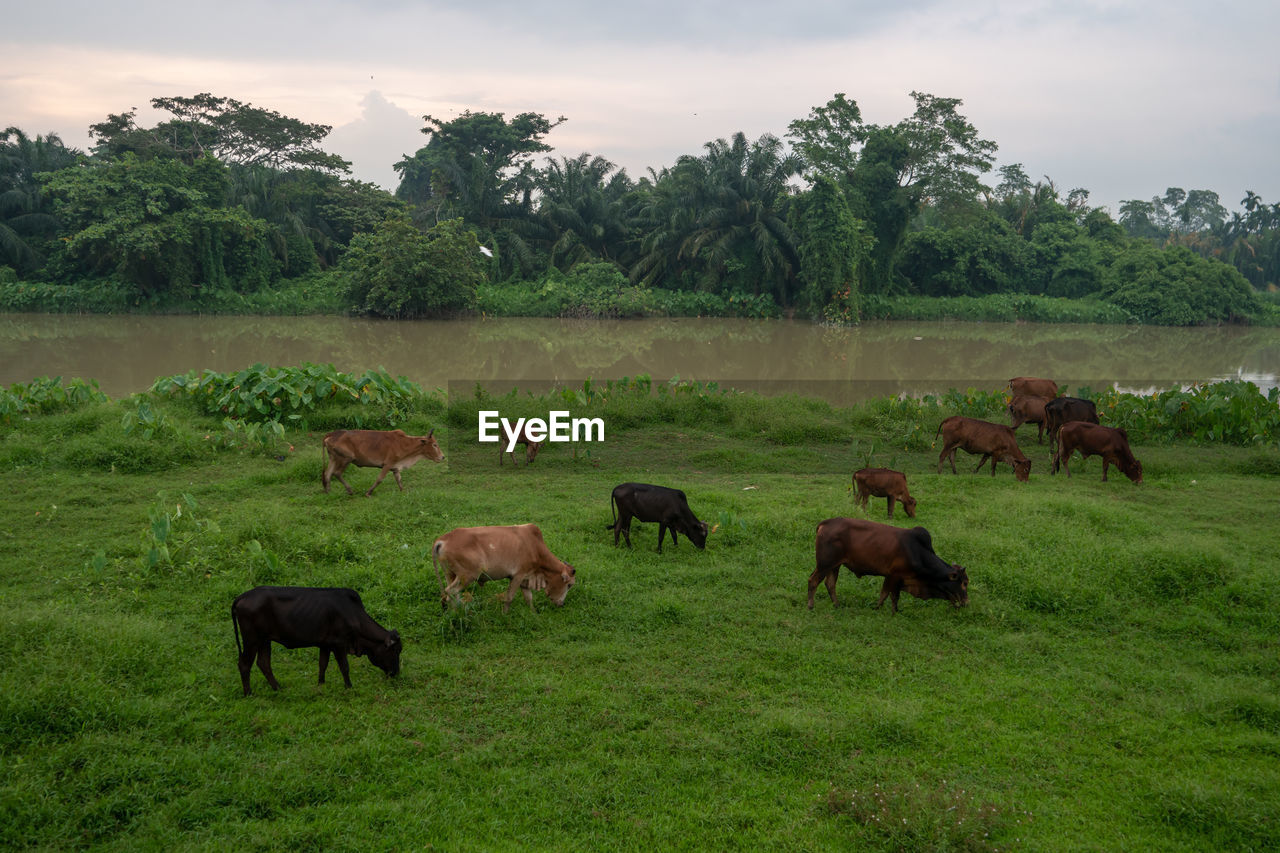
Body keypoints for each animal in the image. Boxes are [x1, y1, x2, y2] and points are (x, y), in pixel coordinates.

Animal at [232, 586, 402, 697]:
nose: (396, 673)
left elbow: (322, 664)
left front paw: (321, 685)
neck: (353, 615)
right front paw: (349, 687)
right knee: (244, 664)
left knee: (264, 663)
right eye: (395, 650)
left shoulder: (325, 644)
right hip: (252, 640)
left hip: (264, 640)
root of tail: (243, 596)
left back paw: (278, 688)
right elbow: (344, 667)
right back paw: (249, 694)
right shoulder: (339, 643)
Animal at [432, 524, 576, 613]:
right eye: (569, 585)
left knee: (450, 594)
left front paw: (534, 613)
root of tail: (442, 540)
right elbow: (509, 597)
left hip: (450, 574)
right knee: (451, 592)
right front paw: (504, 615)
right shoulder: (518, 575)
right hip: (467, 576)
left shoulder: (525, 579)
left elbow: (528, 598)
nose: (561, 604)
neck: (535, 547)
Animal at [807, 517, 969, 613]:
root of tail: (825, 524)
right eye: (964, 583)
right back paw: (810, 606)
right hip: (824, 564)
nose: (966, 602)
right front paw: (883, 609)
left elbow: (889, 594)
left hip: (835, 565)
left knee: (830, 584)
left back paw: (836, 605)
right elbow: (889, 595)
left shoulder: (895, 578)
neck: (917, 551)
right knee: (813, 581)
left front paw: (887, 609)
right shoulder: (894, 575)